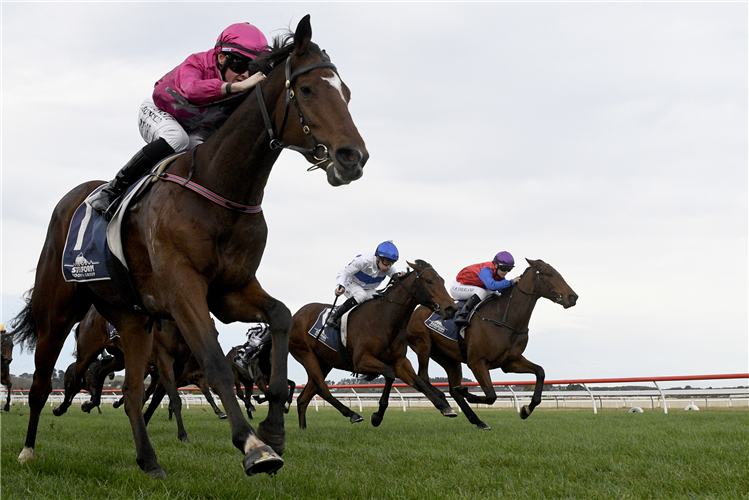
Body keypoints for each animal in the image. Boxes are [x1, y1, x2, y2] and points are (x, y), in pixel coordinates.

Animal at [8, 13, 366, 478]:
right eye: (306, 89)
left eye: (346, 93)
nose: (353, 158)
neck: (221, 187)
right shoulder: (183, 288)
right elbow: (213, 362)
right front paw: (254, 446)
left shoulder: (229, 290)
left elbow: (281, 316)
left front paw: (273, 428)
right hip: (57, 309)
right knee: (42, 381)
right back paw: (28, 449)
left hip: (132, 319)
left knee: (132, 393)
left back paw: (149, 461)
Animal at [290, 260, 458, 428]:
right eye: (429, 281)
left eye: (442, 281)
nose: (451, 309)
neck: (385, 319)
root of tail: (295, 315)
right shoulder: (361, 361)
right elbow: (389, 374)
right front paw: (377, 416)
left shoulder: (400, 362)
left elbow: (418, 381)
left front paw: (445, 406)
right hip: (306, 355)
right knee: (322, 388)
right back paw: (353, 414)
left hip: (324, 362)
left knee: (304, 397)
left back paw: (303, 429)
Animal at [406, 258, 576, 430]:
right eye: (549, 274)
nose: (573, 297)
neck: (504, 319)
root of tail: (415, 311)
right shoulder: (477, 362)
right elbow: (491, 396)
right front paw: (465, 391)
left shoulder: (509, 362)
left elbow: (540, 371)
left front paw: (526, 410)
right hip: (423, 345)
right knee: (423, 377)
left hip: (449, 359)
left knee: (451, 389)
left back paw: (476, 420)